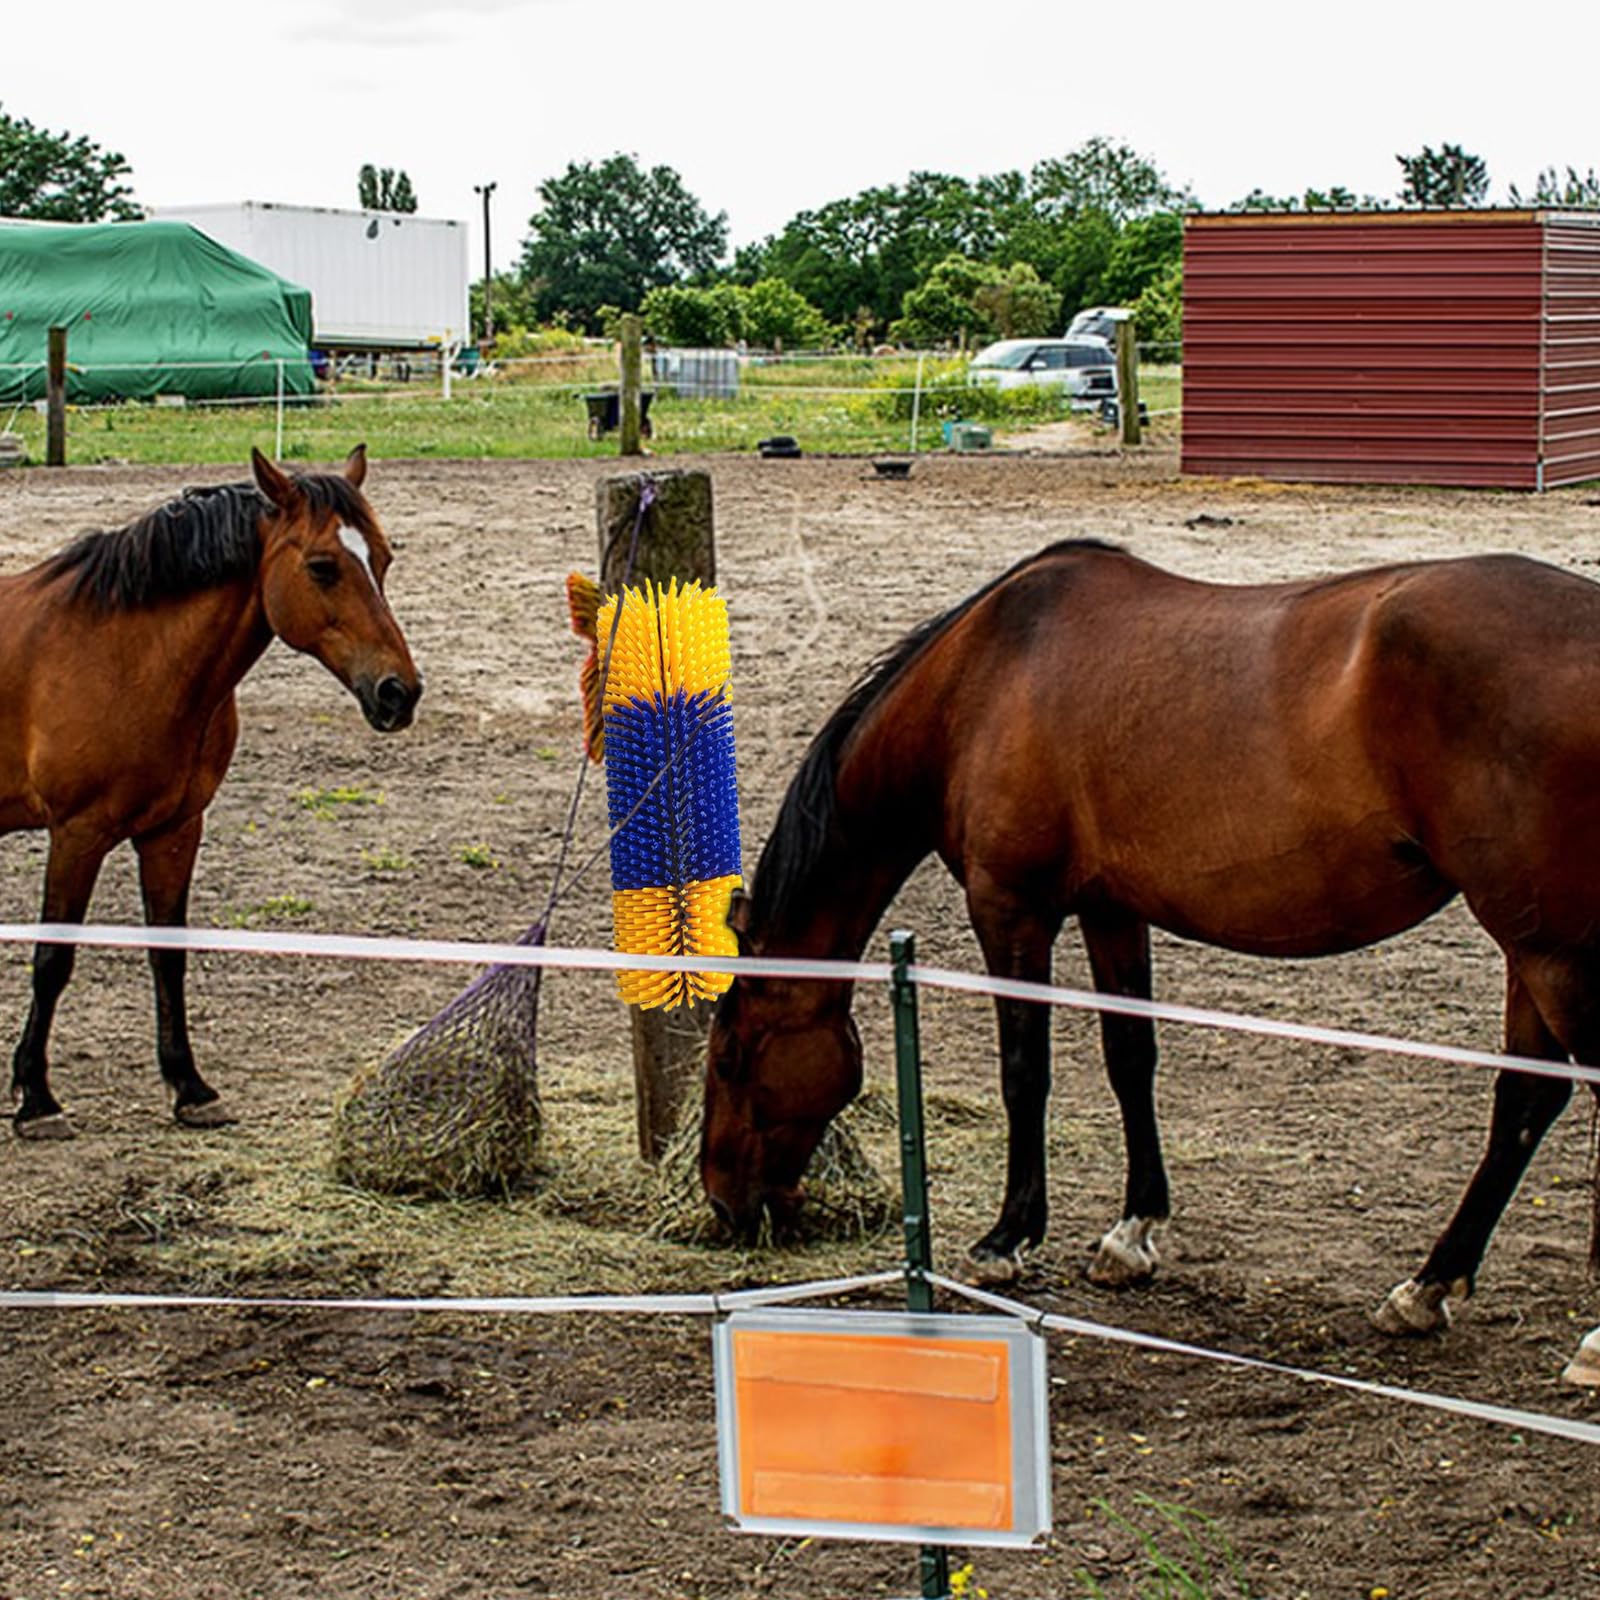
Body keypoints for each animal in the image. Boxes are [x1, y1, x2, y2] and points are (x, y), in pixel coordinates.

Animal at [0, 446, 422, 1138]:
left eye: (383, 559)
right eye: (322, 567)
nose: (399, 693)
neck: (126, 656)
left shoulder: (173, 831)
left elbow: (168, 955)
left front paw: (190, 1087)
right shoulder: (77, 834)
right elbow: (52, 962)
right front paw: (37, 1097)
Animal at [701, 537, 1600, 1353]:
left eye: (732, 1057)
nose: (722, 1201)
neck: (981, 681)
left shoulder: (1010, 909)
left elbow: (1025, 1071)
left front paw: (1006, 1238)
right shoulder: (1112, 912)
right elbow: (1130, 1056)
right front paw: (1131, 1235)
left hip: (1554, 951)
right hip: (1529, 945)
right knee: (1525, 1100)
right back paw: (1426, 1287)